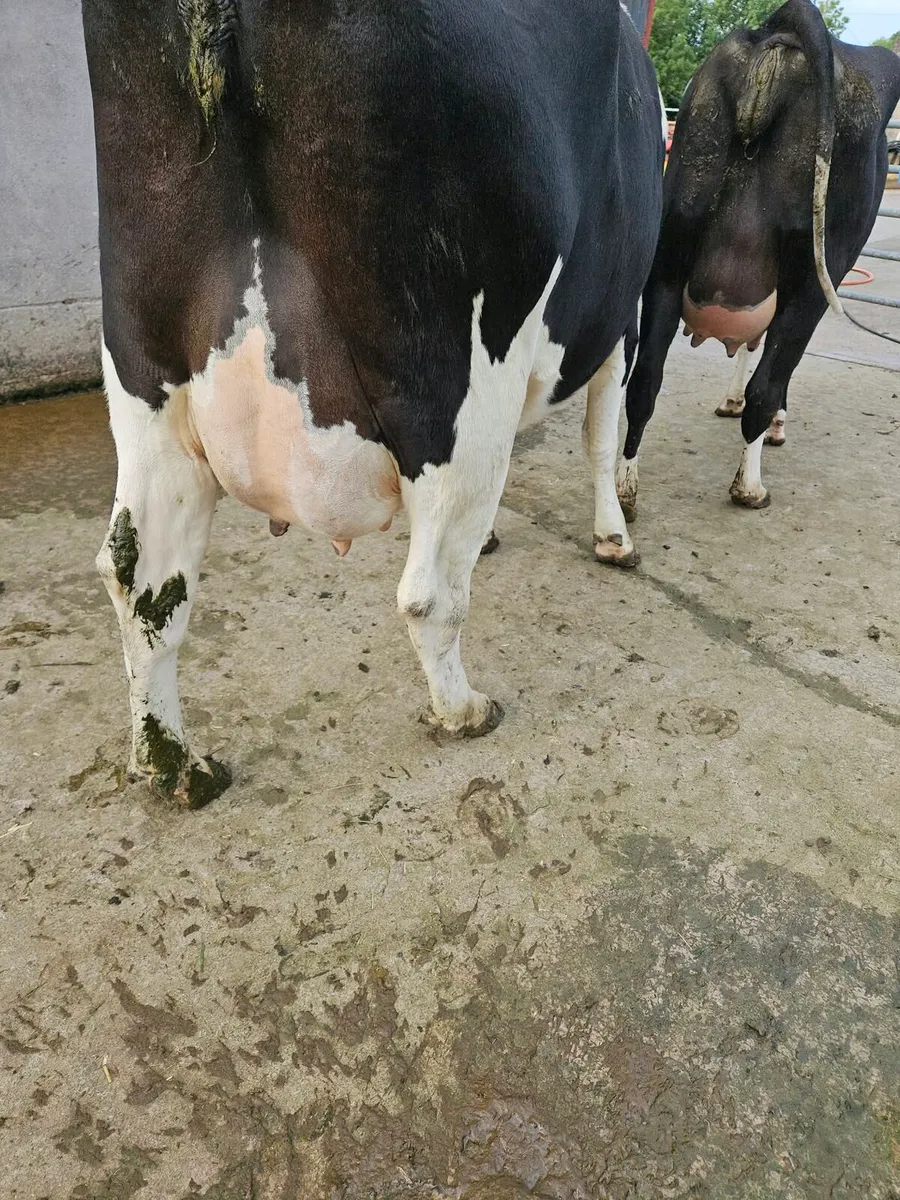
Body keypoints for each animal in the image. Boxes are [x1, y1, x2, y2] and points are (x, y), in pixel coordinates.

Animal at [81, 0, 665, 805]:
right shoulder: (616, 319)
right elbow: (602, 437)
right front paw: (615, 535)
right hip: (455, 377)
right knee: (428, 592)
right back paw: (464, 709)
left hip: (146, 378)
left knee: (140, 582)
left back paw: (175, 765)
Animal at [616, 0, 900, 526]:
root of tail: (783, 28)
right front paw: (773, 424)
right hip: (816, 274)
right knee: (765, 387)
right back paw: (750, 487)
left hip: (669, 252)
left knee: (645, 379)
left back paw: (624, 495)